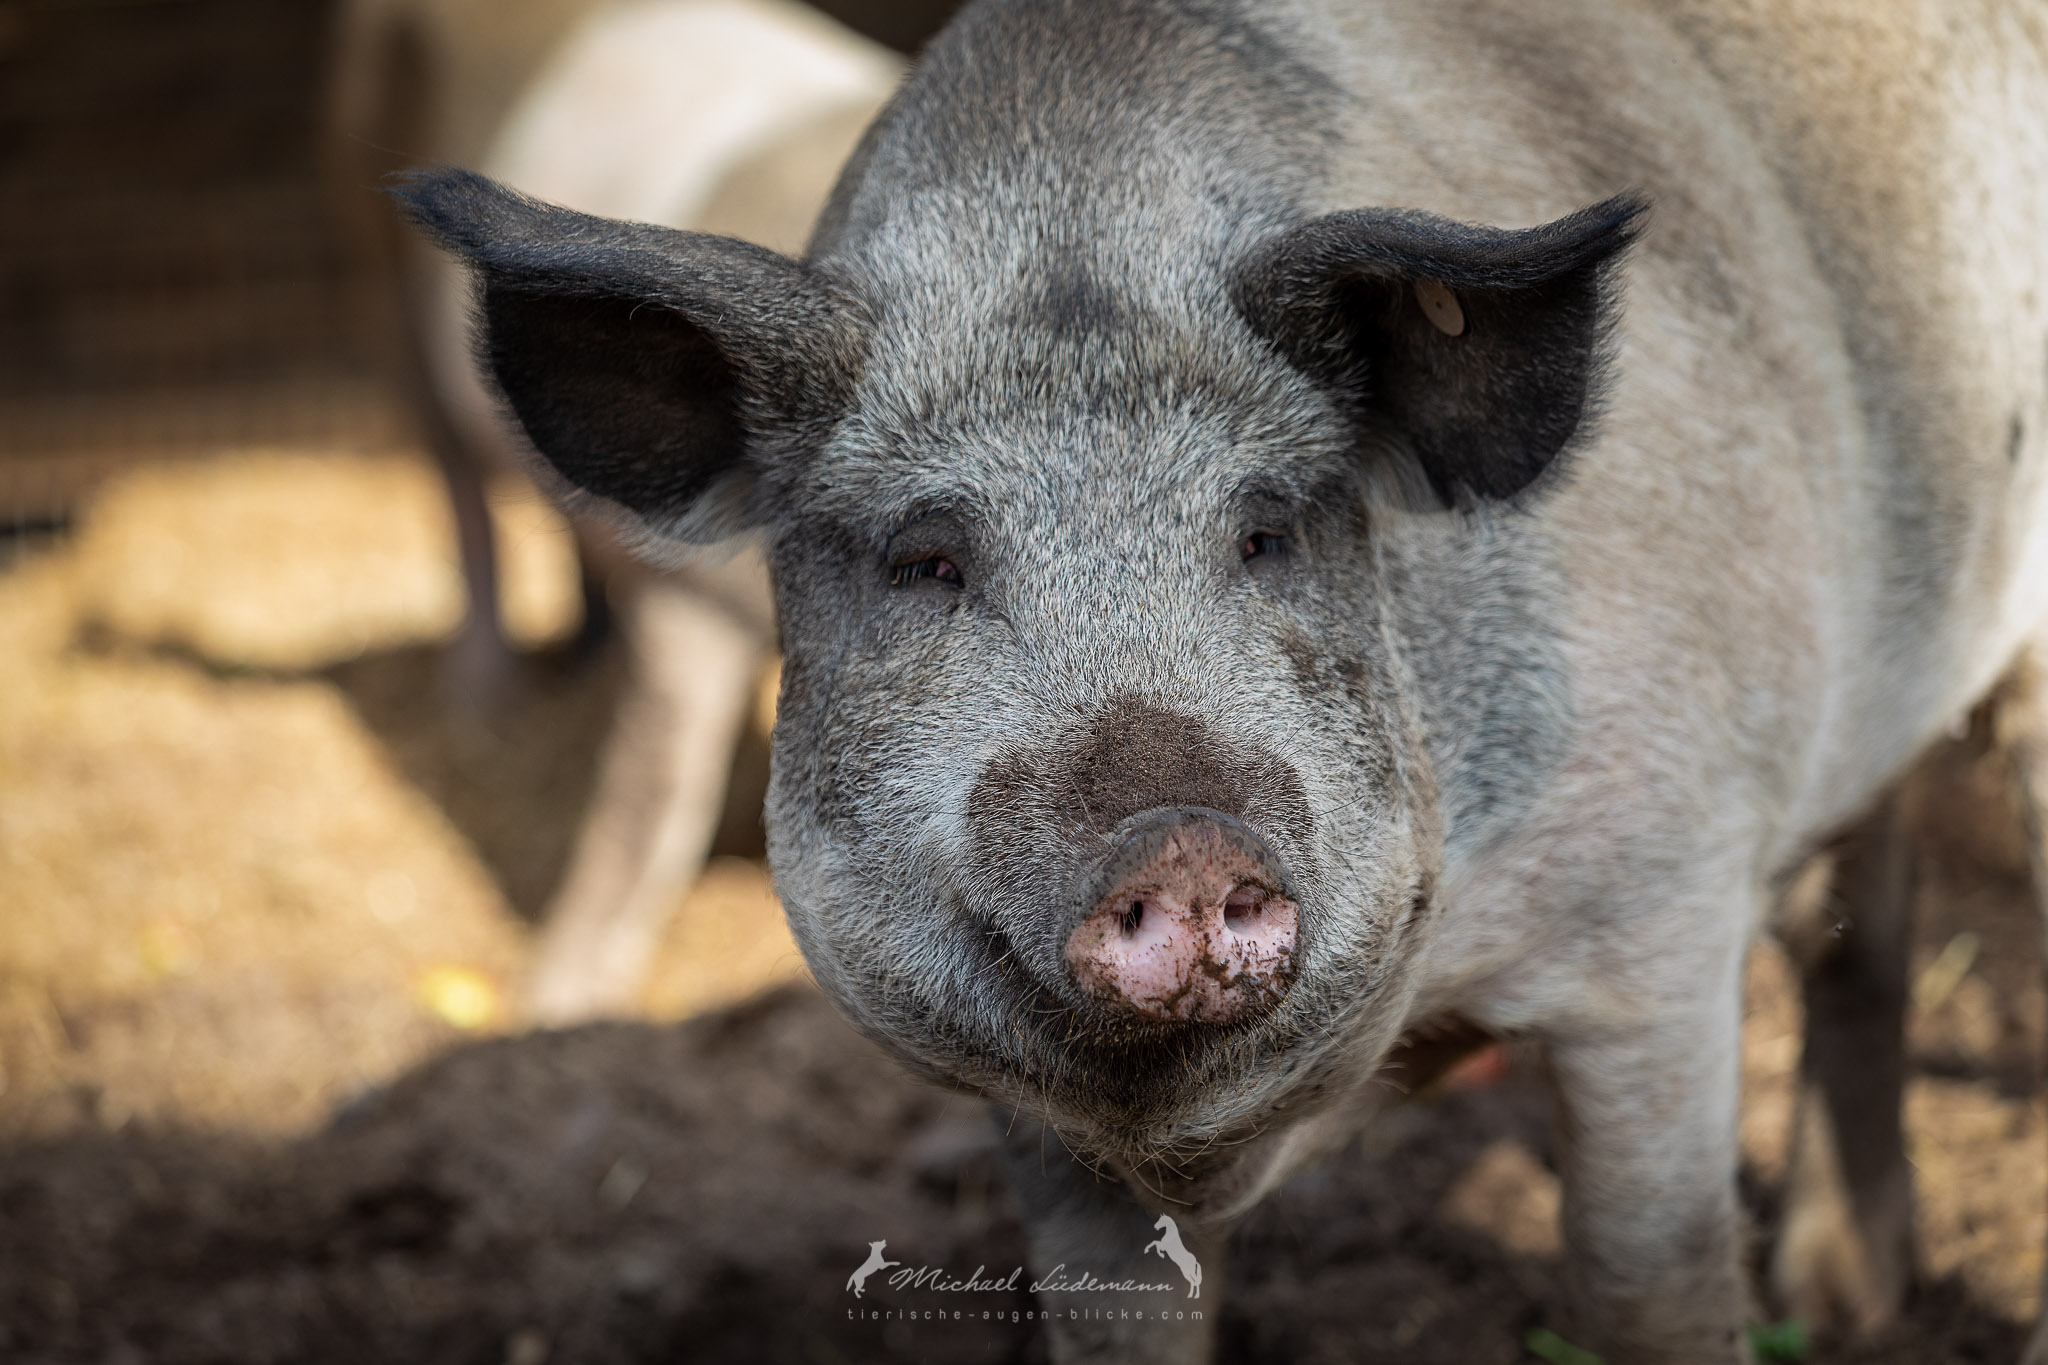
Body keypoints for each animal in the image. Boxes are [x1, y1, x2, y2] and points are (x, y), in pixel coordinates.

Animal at [325, 0, 897, 1019]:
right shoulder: (697, 598)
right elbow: (651, 798)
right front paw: (558, 1004)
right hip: (367, 228)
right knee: (451, 478)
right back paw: (487, 702)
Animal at [395, 0, 2048, 1358]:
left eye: (1266, 532)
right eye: (926, 561)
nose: (1175, 832)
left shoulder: (1660, 908)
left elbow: (1650, 1282)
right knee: (1870, 907)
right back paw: (1852, 1299)